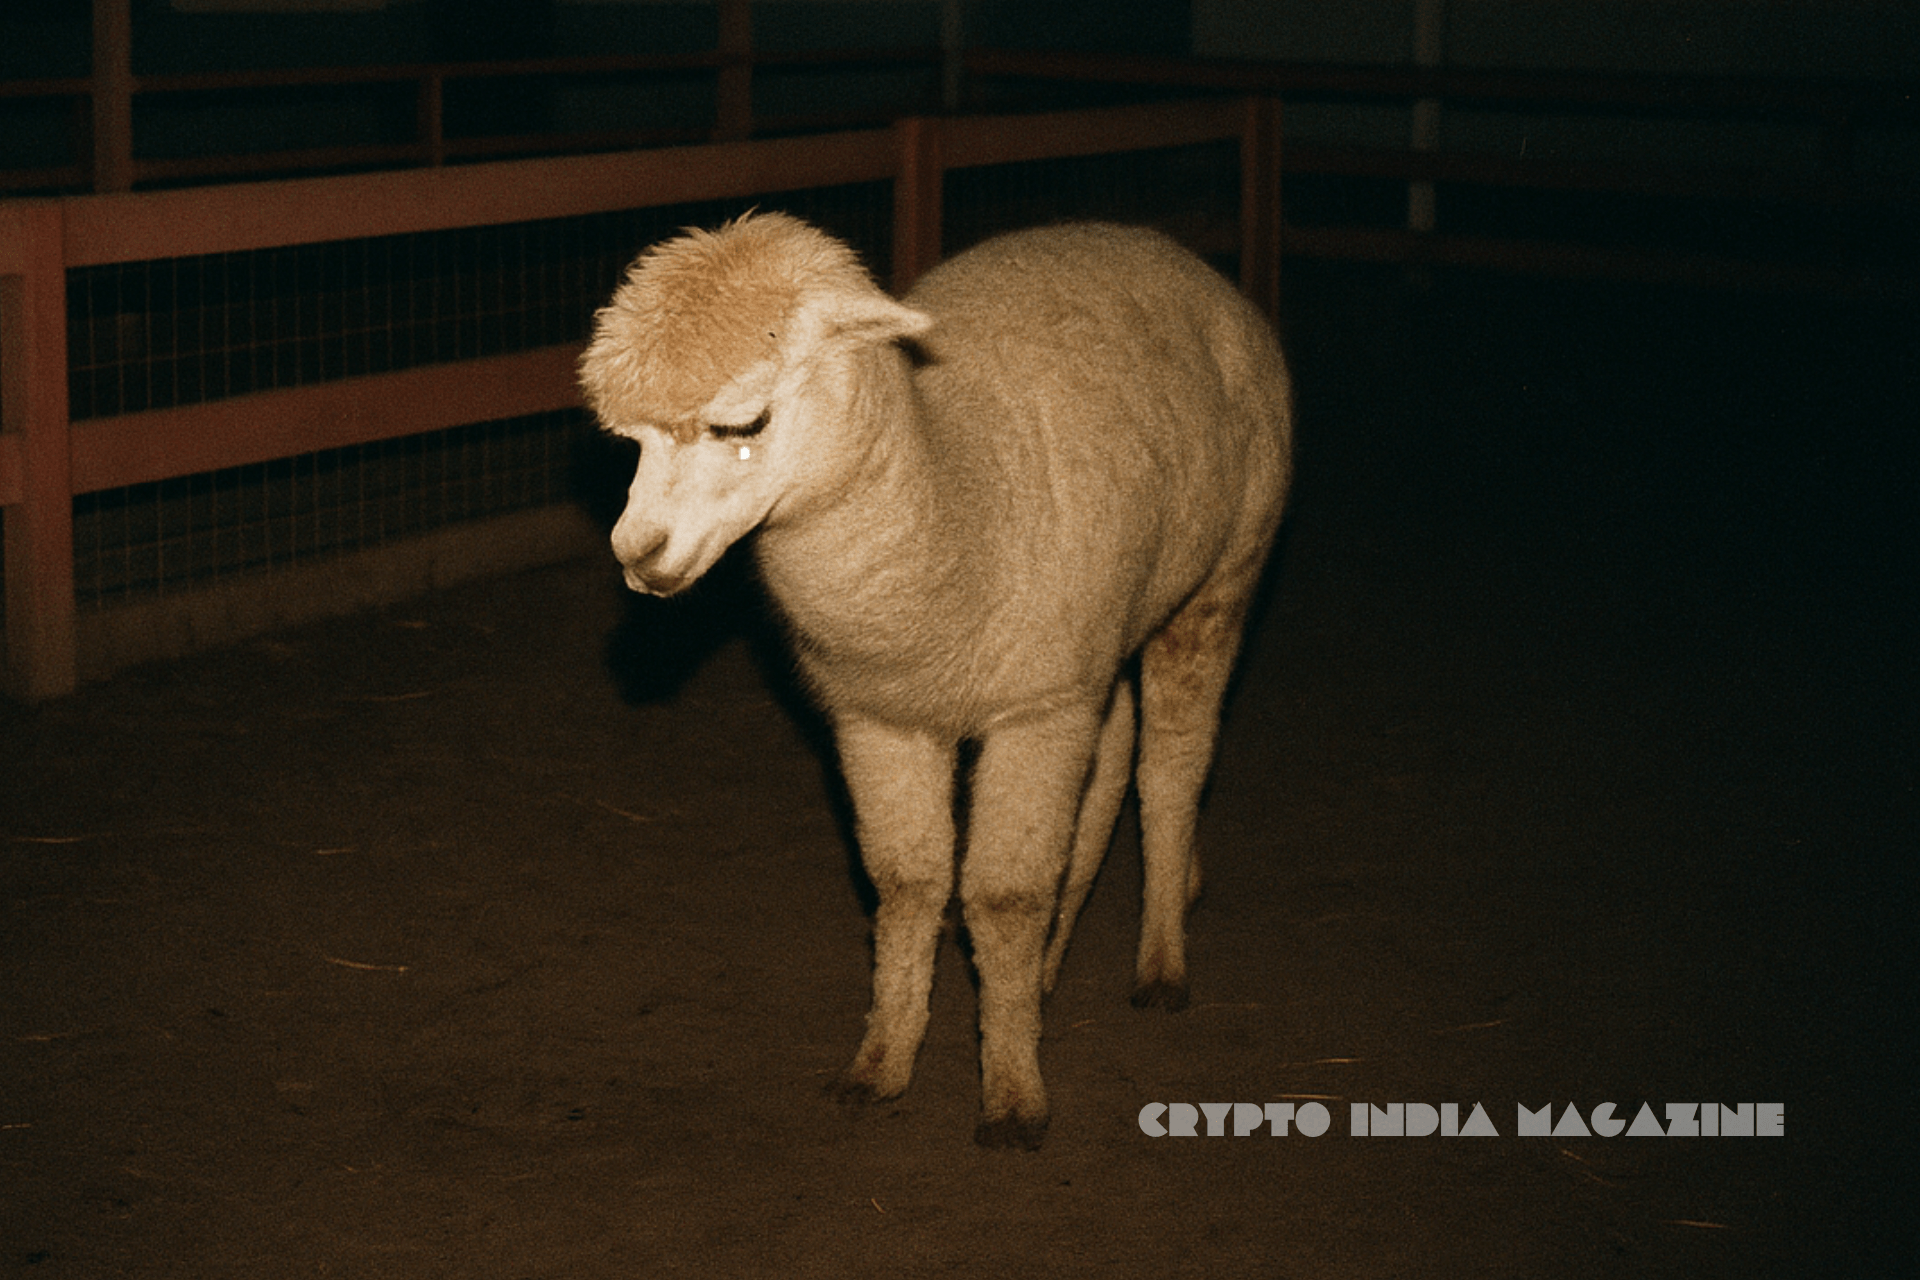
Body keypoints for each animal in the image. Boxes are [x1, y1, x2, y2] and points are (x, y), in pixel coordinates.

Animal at [578, 211, 1293, 1149]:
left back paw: (1161, 962)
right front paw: (882, 1064)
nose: (640, 556)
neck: (959, 493)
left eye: (746, 422)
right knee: (1112, 757)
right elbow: (908, 884)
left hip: (1225, 570)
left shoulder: (1034, 708)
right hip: (1096, 633)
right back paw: (1055, 966)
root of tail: (1173, 254)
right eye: (627, 442)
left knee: (1172, 766)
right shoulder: (882, 712)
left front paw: (1014, 1096)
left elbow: (1006, 895)